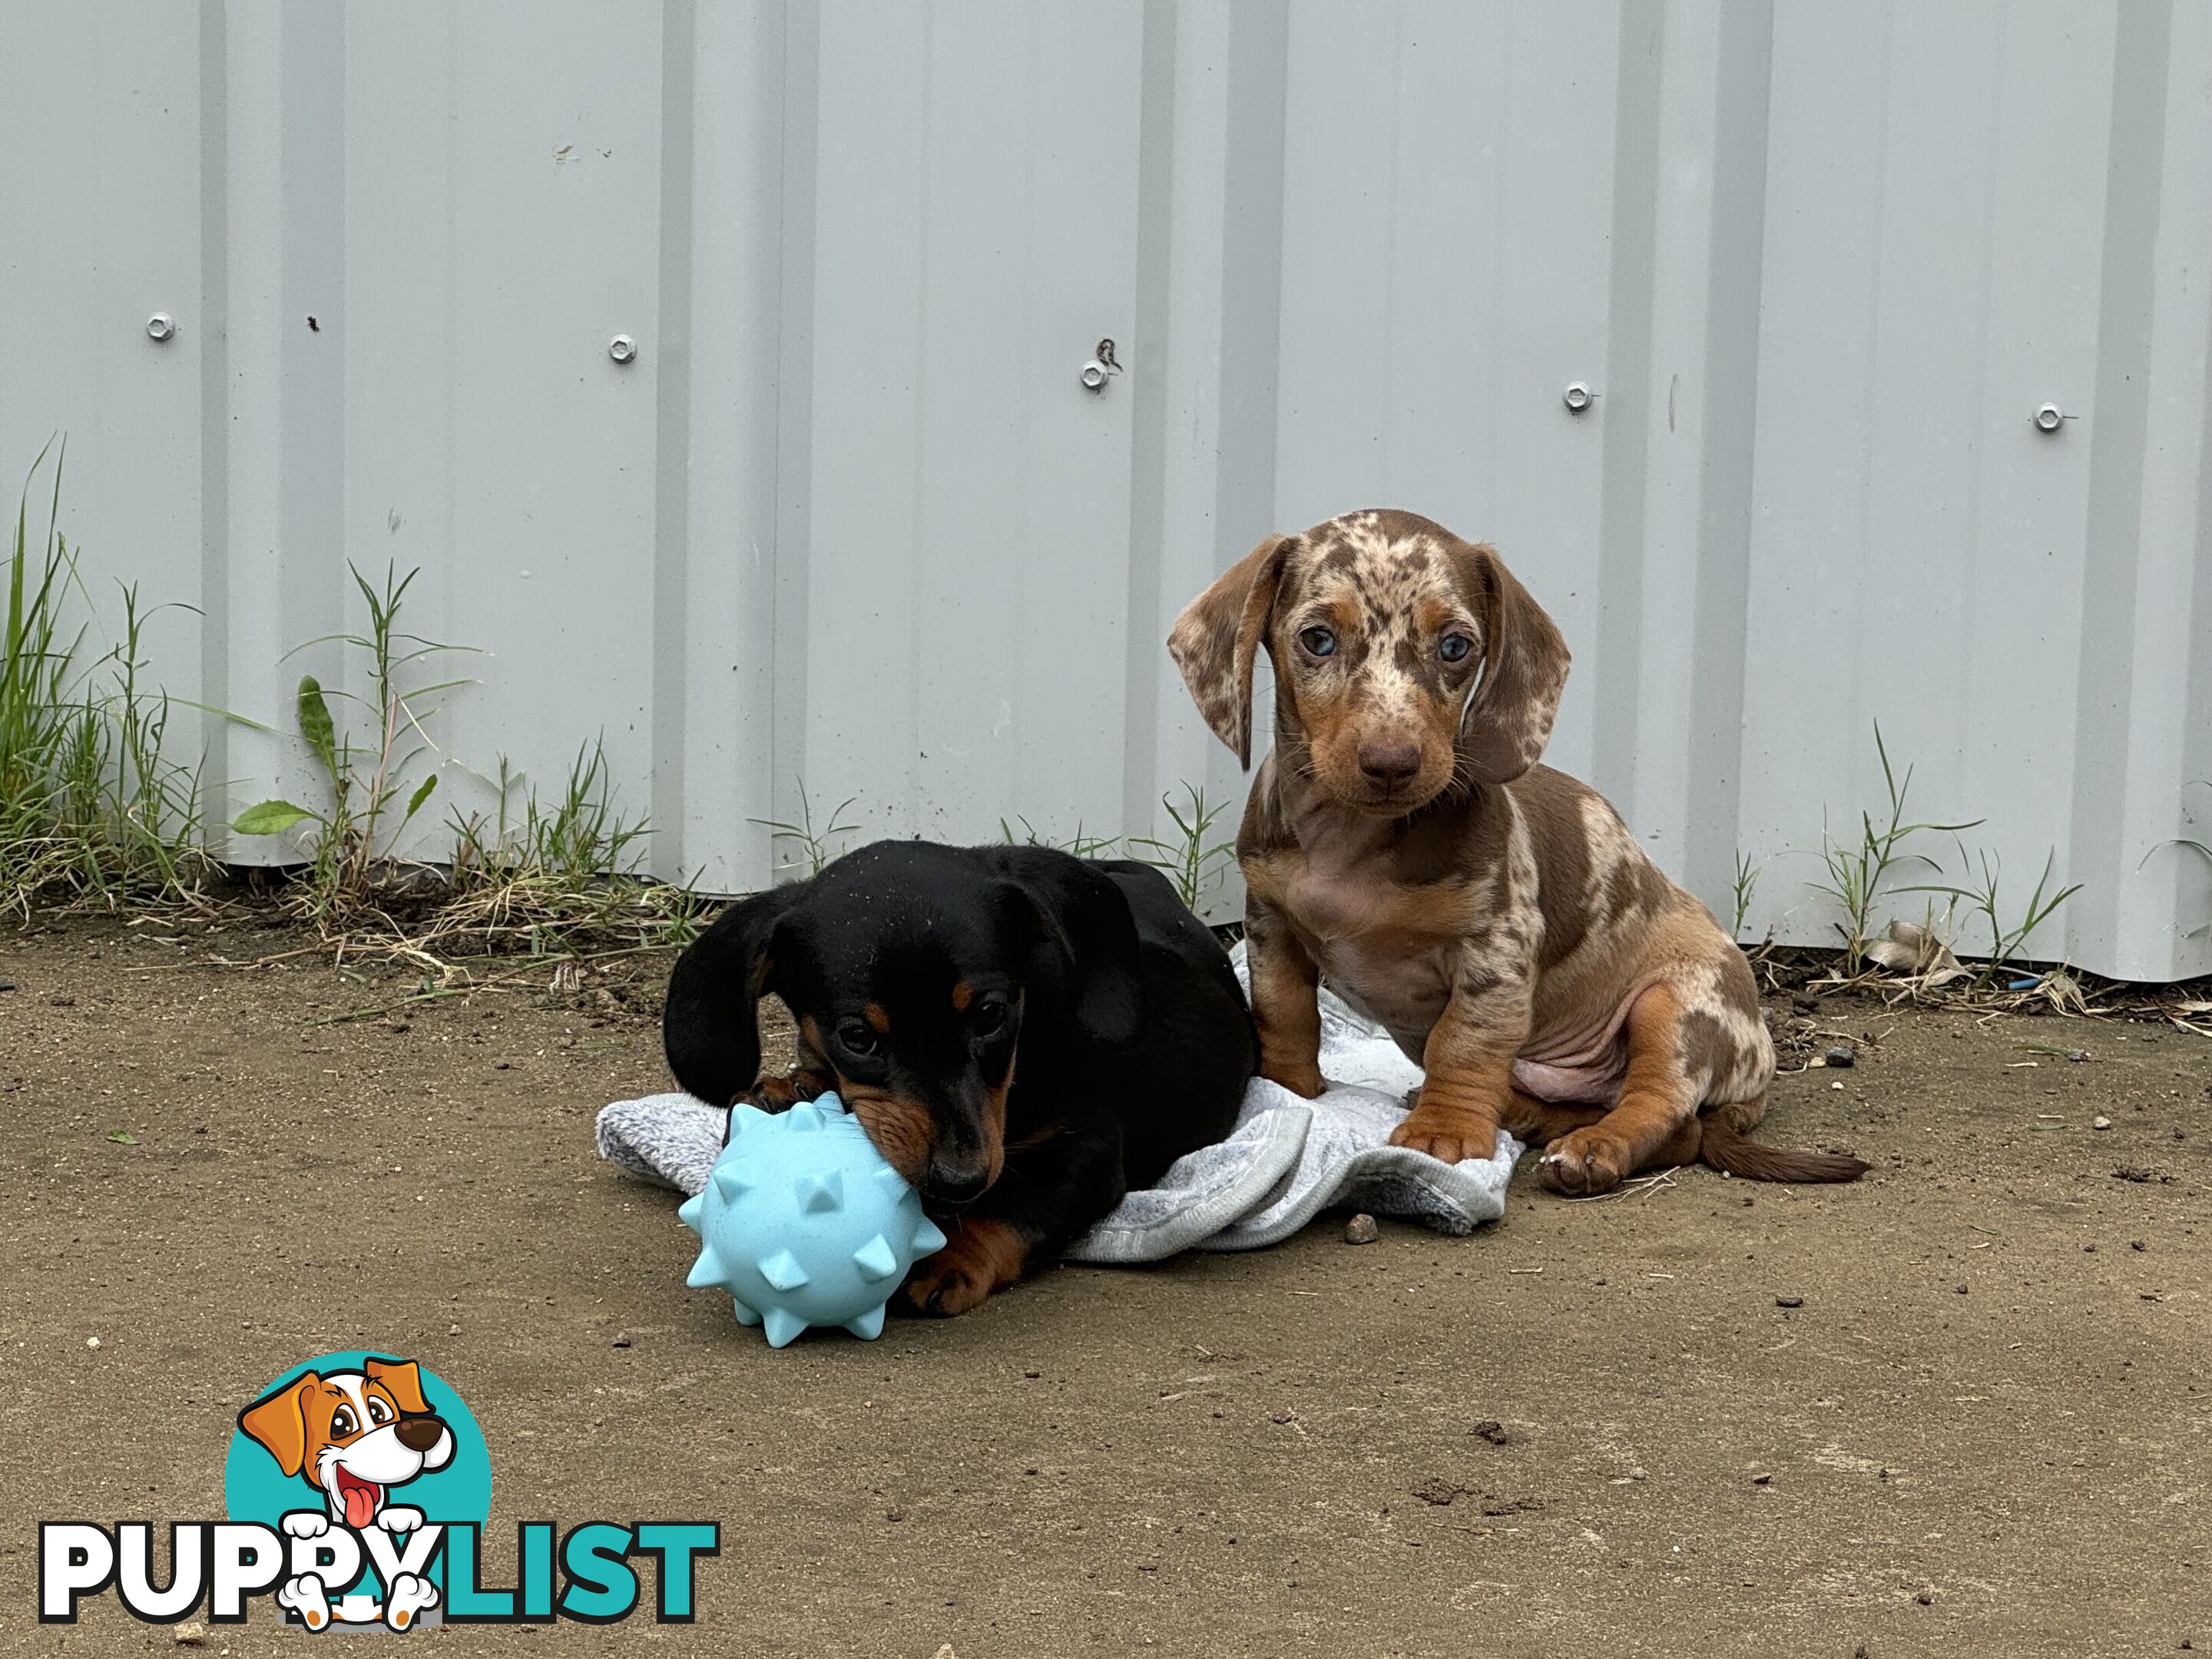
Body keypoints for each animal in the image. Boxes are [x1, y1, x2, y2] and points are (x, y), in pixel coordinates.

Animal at [659, 849, 1265, 1318]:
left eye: (991, 1014)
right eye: (857, 1037)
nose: (958, 1180)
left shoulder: (1088, 1148)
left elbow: (1011, 1202)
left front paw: (948, 1257)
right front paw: (789, 1089)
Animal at [1177, 506, 1866, 1194]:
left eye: (1456, 646)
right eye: (1317, 639)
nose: (1392, 763)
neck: (1353, 841)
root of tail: (1758, 1072)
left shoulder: (1495, 949)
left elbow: (1462, 1043)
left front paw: (1445, 1132)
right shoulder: (1270, 925)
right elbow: (1285, 1014)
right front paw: (1287, 1093)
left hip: (1677, 1007)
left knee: (1669, 1113)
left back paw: (1593, 1149)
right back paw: (1525, 1113)